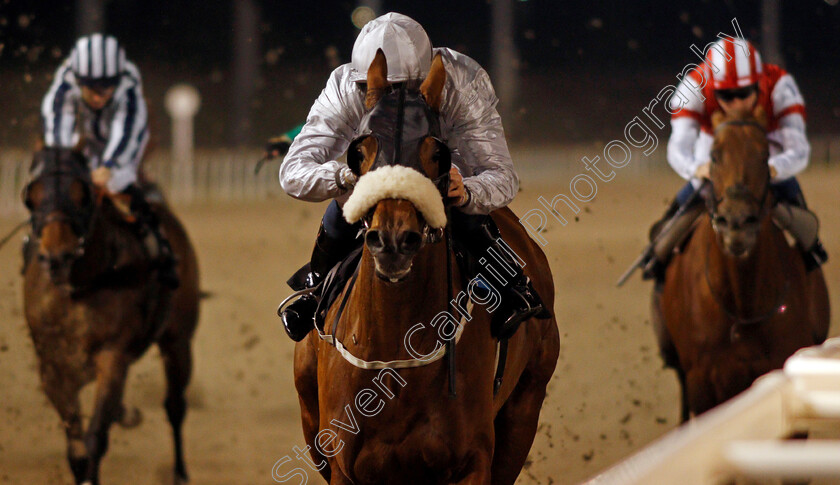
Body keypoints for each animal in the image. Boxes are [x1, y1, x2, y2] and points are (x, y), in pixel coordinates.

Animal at [21, 147, 200, 484]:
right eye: (32, 197)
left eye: (82, 195)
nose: (57, 256)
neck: (78, 288)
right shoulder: (51, 366)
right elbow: (75, 446)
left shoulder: (113, 357)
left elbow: (94, 439)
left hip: (178, 341)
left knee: (174, 406)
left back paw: (180, 472)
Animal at [292, 51, 560, 482]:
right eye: (360, 153)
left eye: (437, 154)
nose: (393, 240)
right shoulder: (342, 466)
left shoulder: (473, 461)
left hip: (524, 408)